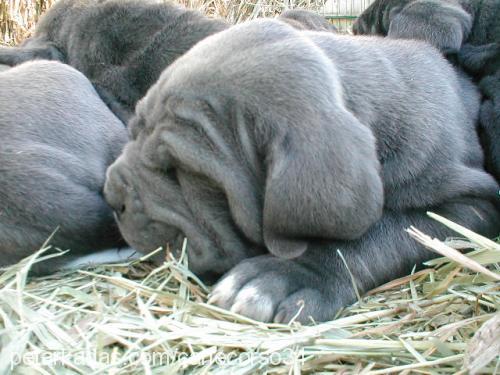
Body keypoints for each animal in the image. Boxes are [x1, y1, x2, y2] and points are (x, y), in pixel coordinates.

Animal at [103, 19, 498, 324]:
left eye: (180, 171)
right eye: (133, 128)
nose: (111, 195)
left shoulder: (472, 204)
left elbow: (387, 235)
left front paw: (282, 277)